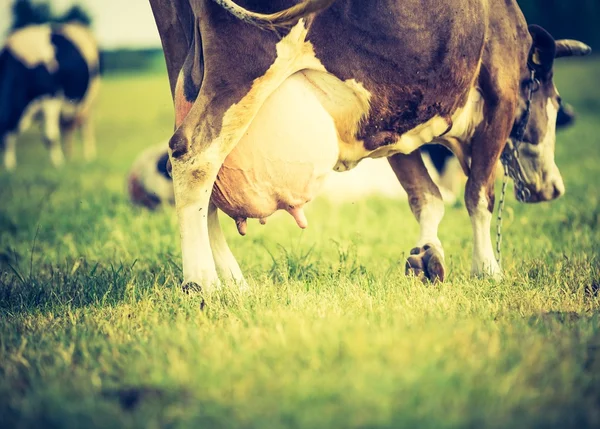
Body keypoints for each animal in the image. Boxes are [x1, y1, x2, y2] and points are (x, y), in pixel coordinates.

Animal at [0, 22, 101, 171]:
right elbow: (10, 137)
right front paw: (10, 166)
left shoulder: (51, 99)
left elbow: (49, 137)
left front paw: (57, 164)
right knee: (68, 128)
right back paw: (69, 156)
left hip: (89, 100)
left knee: (85, 128)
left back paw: (88, 155)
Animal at [149, 0, 592, 290]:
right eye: (555, 102)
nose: (554, 187)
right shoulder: (499, 98)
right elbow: (478, 195)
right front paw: (487, 268)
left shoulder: (396, 117)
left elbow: (426, 197)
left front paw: (427, 256)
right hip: (245, 65)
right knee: (196, 157)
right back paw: (203, 282)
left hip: (183, 65)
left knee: (190, 162)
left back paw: (233, 280)